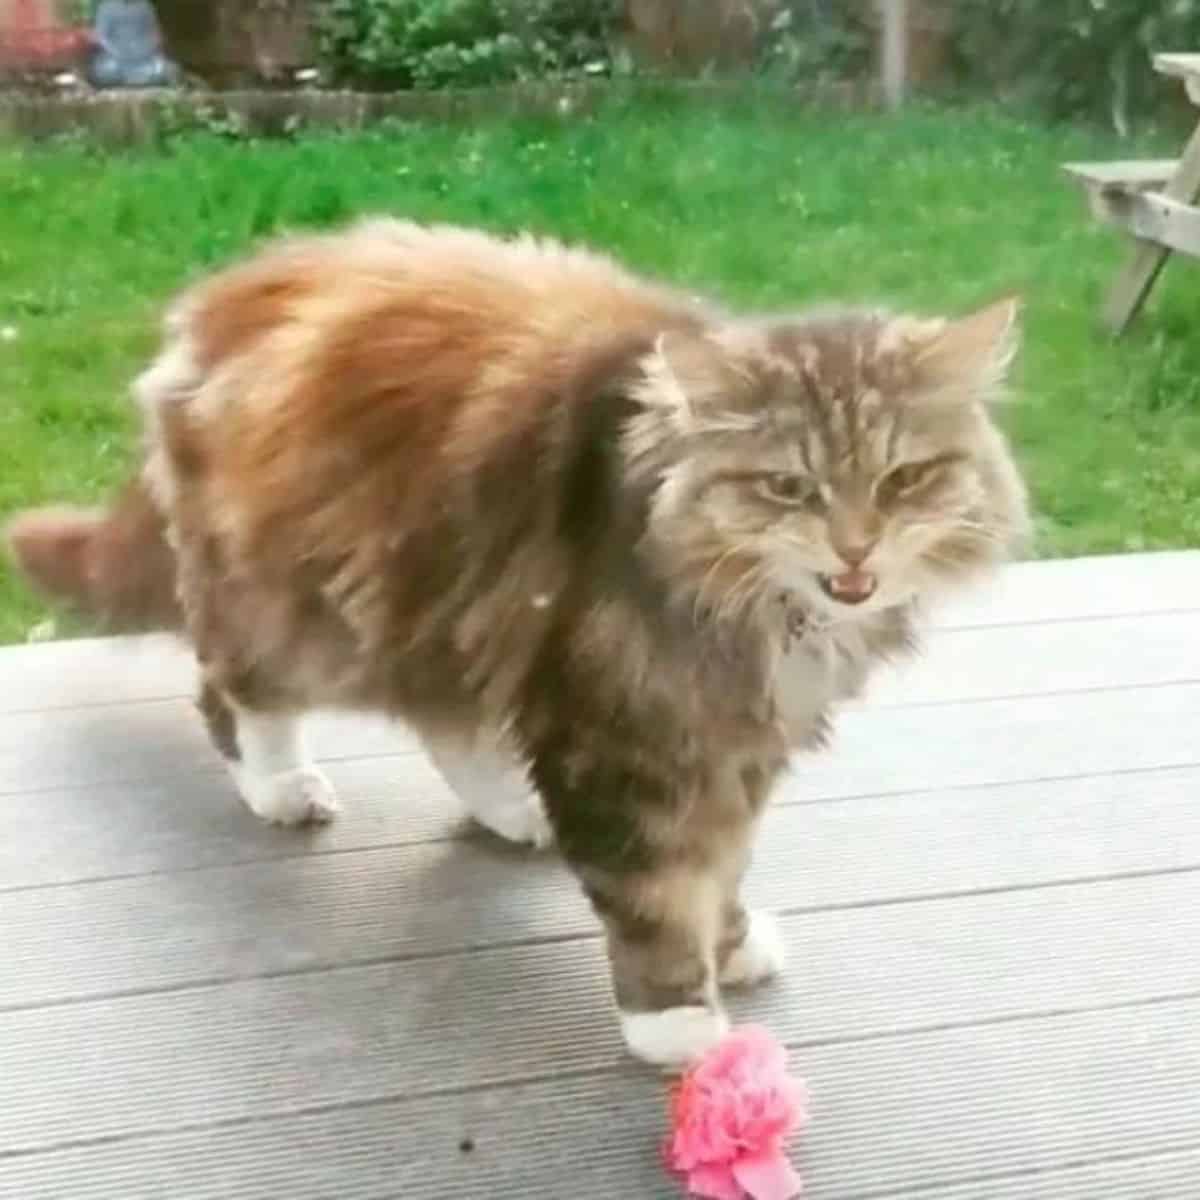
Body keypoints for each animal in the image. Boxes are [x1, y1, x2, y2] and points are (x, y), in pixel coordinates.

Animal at [4, 220, 1027, 1065]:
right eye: (788, 488)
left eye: (903, 480)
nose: (856, 551)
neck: (761, 615)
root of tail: (224, 294)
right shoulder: (615, 727)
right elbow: (658, 890)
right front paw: (677, 1021)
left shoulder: (734, 739)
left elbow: (722, 865)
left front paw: (731, 949)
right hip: (311, 612)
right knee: (232, 688)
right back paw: (282, 787)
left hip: (442, 604)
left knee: (442, 720)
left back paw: (510, 810)